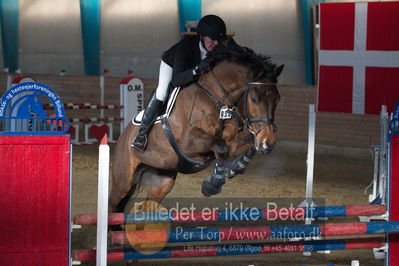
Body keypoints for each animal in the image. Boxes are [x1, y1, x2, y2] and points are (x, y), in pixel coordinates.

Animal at [109, 45, 284, 212]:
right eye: (254, 99)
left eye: (277, 99)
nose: (268, 143)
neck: (216, 98)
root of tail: (123, 137)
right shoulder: (189, 144)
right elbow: (220, 148)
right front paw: (213, 184)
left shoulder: (234, 141)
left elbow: (247, 146)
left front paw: (235, 168)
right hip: (123, 181)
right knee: (113, 204)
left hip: (161, 182)